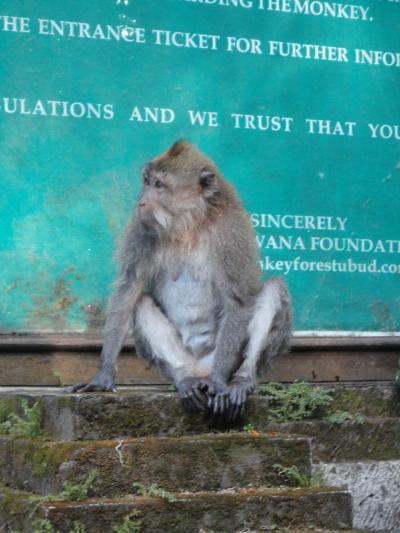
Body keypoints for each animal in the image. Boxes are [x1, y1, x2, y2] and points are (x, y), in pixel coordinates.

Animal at [69, 140, 290, 420]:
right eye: (146, 182)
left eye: (158, 185)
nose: (142, 202)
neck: (189, 223)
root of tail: (201, 368)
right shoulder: (141, 228)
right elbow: (129, 289)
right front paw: (103, 374)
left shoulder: (231, 232)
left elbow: (238, 300)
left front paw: (220, 382)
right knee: (141, 303)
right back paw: (185, 378)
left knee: (274, 288)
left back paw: (240, 380)